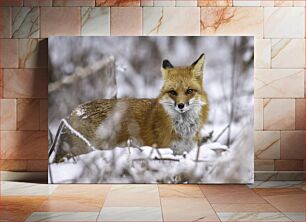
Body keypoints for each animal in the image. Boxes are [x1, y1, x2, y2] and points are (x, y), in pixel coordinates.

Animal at [53, 53, 209, 161]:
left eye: (189, 91)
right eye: (173, 92)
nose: (181, 105)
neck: (183, 130)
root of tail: (71, 115)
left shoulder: (183, 152)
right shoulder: (164, 149)